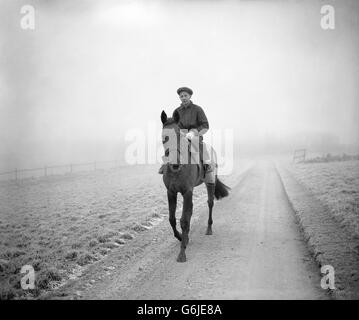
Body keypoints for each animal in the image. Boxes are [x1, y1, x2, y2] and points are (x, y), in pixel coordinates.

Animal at [160, 109, 231, 262]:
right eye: (164, 137)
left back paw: (209, 229)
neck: (178, 170)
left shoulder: (187, 191)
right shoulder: (171, 192)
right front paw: (182, 237)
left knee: (210, 203)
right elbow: (172, 219)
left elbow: (184, 220)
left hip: (210, 182)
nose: (174, 163)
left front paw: (182, 253)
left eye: (179, 135)